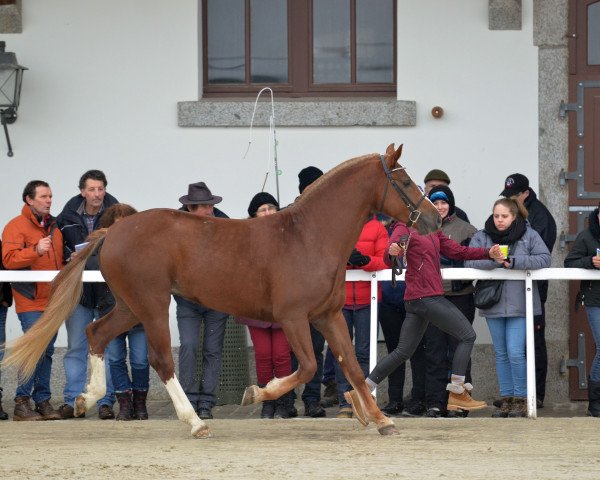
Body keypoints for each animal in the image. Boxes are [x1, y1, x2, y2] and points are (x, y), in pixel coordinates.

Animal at [2, 143, 438, 438]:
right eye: (403, 180)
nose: (433, 218)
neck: (307, 236)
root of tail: (113, 229)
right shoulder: (293, 318)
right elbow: (309, 367)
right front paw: (257, 393)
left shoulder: (328, 316)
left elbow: (353, 367)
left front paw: (381, 420)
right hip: (152, 304)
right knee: (161, 360)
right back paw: (195, 422)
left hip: (130, 305)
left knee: (96, 333)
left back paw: (85, 399)